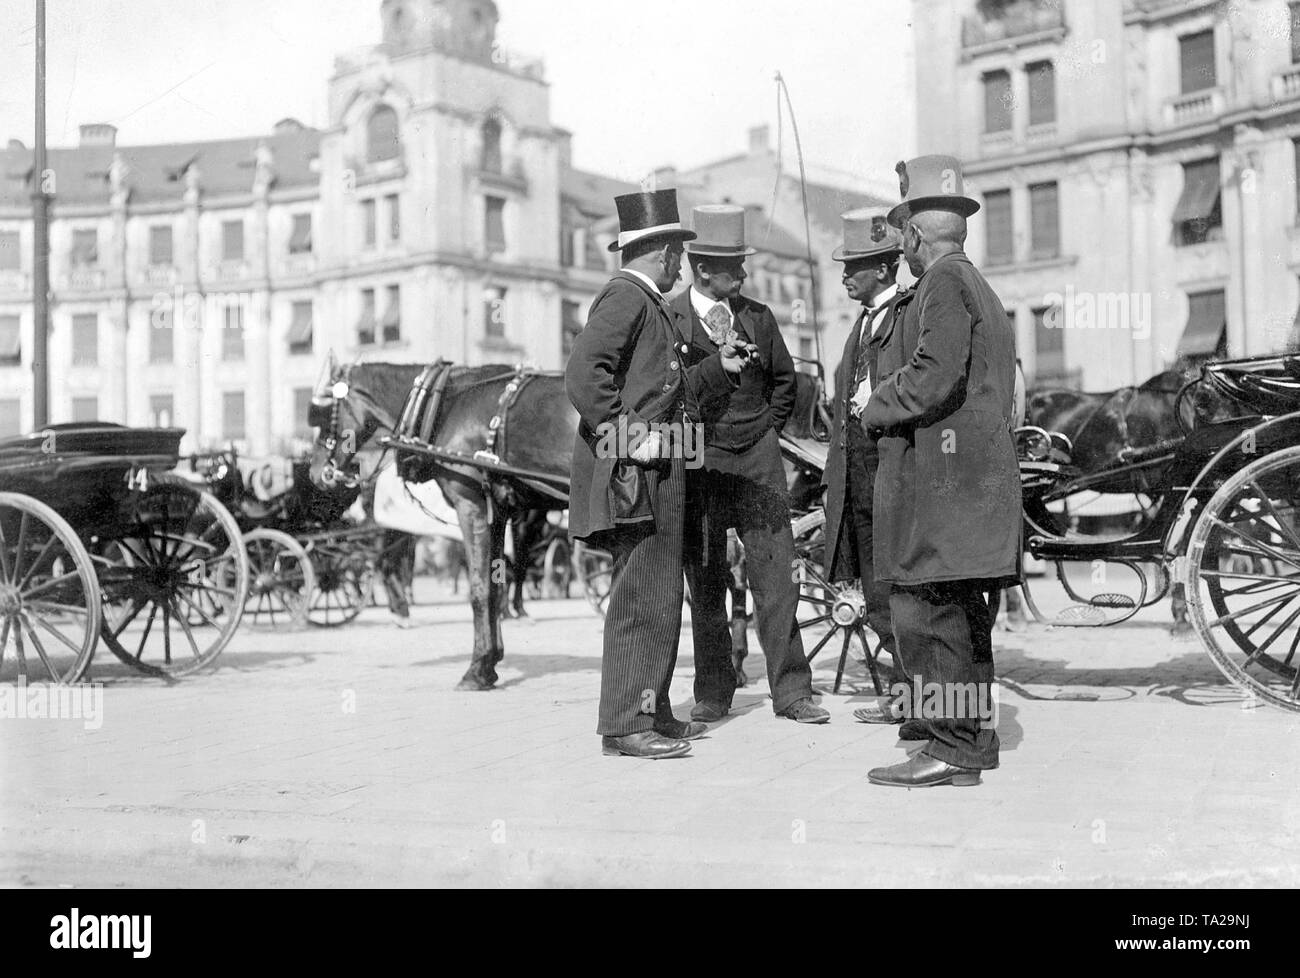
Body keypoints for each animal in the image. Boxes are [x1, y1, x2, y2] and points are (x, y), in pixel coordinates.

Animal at [309, 356, 574, 686]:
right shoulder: (497, 513)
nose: (315, 471)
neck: (446, 402)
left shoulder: (472, 507)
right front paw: (490, 662)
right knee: (387, 565)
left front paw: (477, 668)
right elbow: (495, 584)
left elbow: (481, 588)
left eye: (324, 413)